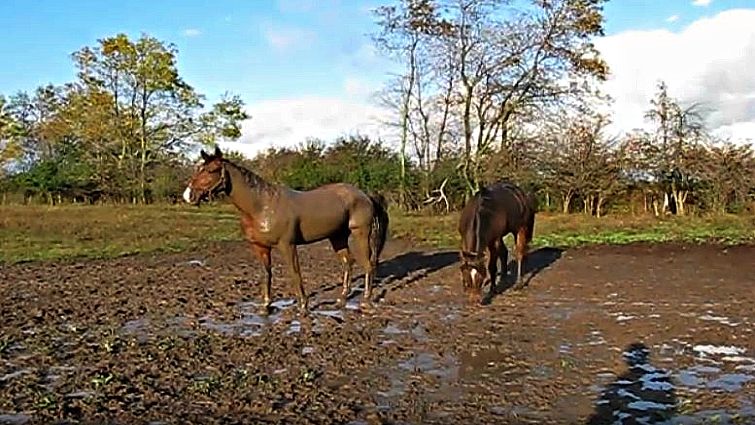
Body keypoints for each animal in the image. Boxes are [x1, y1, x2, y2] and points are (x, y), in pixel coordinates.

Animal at [182, 145, 390, 313]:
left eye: (212, 170)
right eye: (198, 169)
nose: (188, 195)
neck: (262, 206)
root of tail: (364, 194)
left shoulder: (287, 245)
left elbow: (295, 273)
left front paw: (303, 306)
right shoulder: (260, 247)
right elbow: (266, 273)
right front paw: (266, 305)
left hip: (360, 233)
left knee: (368, 264)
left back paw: (365, 301)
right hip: (337, 237)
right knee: (348, 262)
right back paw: (342, 299)